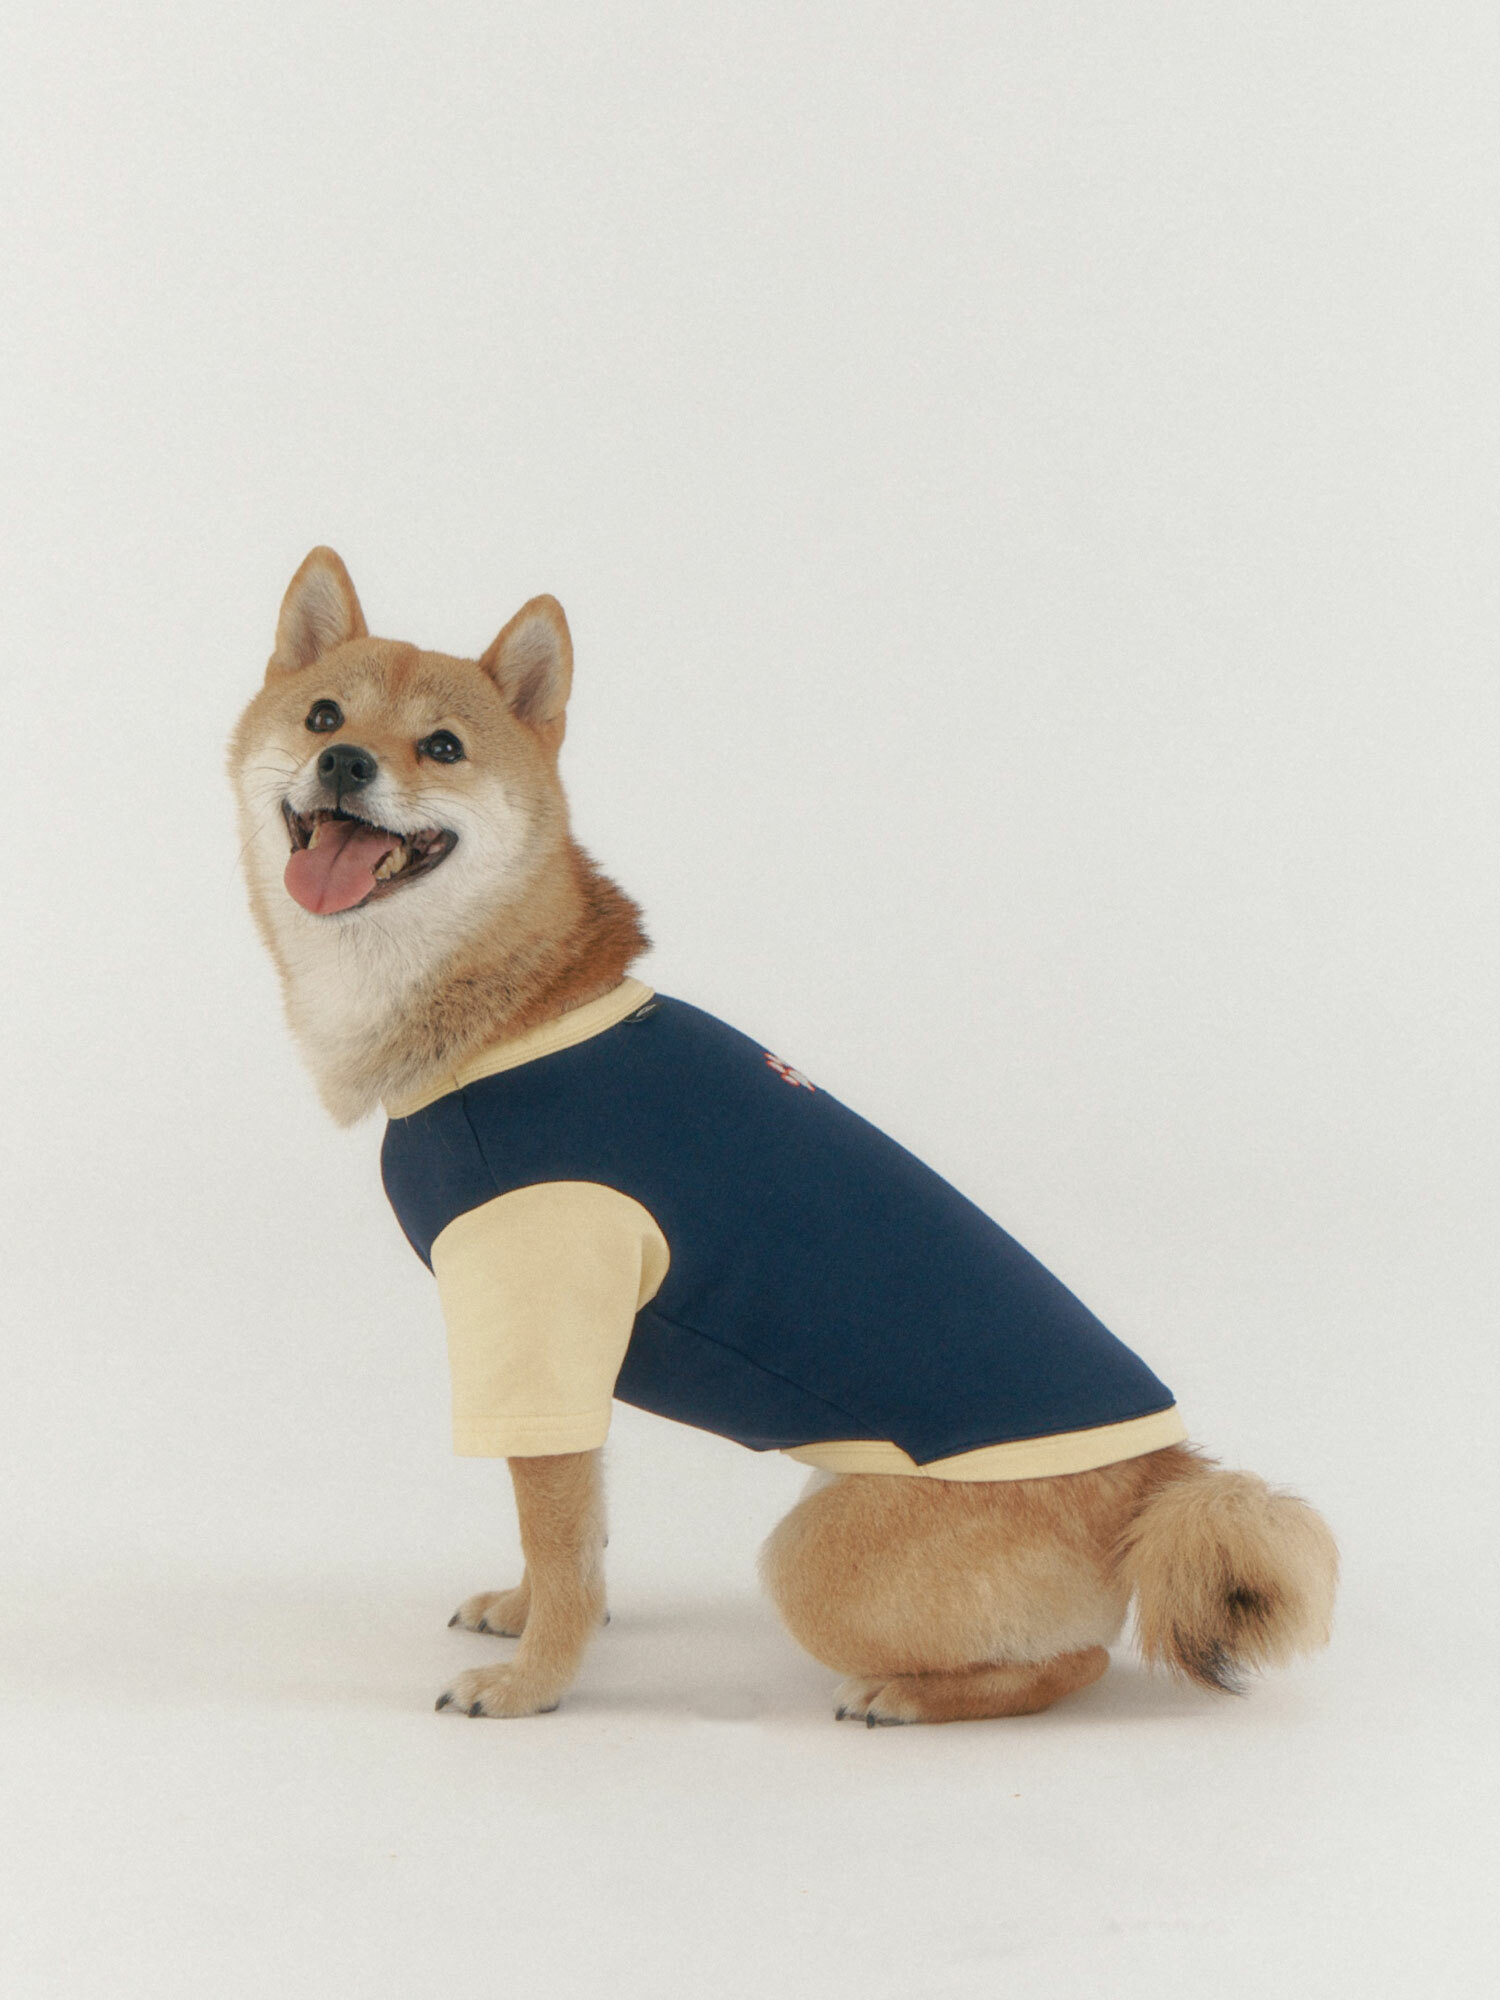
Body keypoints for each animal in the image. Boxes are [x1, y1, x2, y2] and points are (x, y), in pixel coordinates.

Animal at [229, 546, 1337, 1725]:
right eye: (323, 715)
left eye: (441, 746)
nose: (345, 761)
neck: (507, 1012)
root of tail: (1159, 1481)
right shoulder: (566, 1362)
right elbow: (572, 1529)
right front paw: (527, 1614)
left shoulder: (537, 1321)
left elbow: (564, 1540)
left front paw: (534, 1681)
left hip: (814, 1554)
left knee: (1076, 1663)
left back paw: (907, 1695)